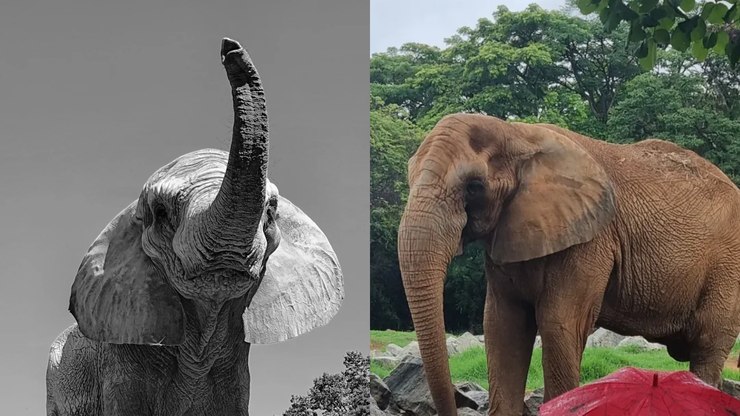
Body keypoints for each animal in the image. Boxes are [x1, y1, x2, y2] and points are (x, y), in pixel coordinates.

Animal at [397, 113, 740, 415]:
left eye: (474, 186)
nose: (459, 401)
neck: (516, 134)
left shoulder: (590, 240)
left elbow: (558, 323)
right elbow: (502, 325)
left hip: (727, 270)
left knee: (707, 345)